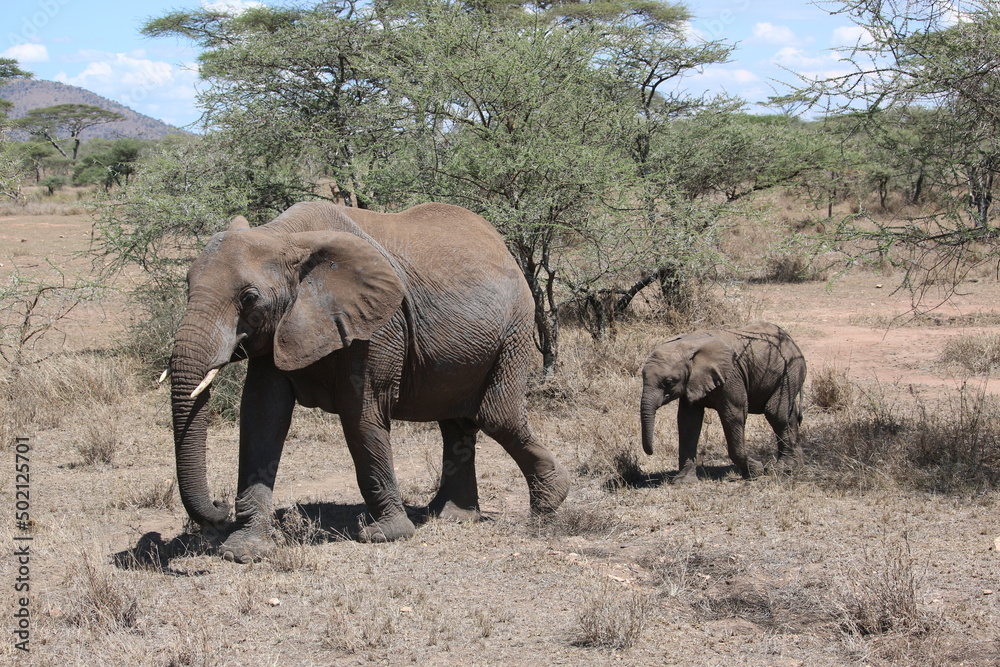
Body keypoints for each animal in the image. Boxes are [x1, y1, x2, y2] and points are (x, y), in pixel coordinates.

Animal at [172, 201, 572, 560]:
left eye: (249, 298)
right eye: (187, 285)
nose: (219, 506)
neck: (281, 235)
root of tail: (503, 247)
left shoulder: (379, 325)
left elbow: (361, 412)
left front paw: (386, 535)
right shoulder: (281, 328)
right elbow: (262, 415)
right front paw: (243, 551)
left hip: (515, 328)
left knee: (496, 416)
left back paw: (549, 504)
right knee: (456, 425)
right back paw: (451, 516)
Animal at [640, 322, 804, 482]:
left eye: (668, 382)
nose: (651, 452)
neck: (687, 344)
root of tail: (791, 341)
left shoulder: (731, 377)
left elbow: (733, 415)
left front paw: (755, 471)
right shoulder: (691, 382)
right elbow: (688, 421)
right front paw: (683, 481)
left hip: (790, 371)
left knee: (775, 413)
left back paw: (783, 468)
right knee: (789, 415)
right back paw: (795, 465)